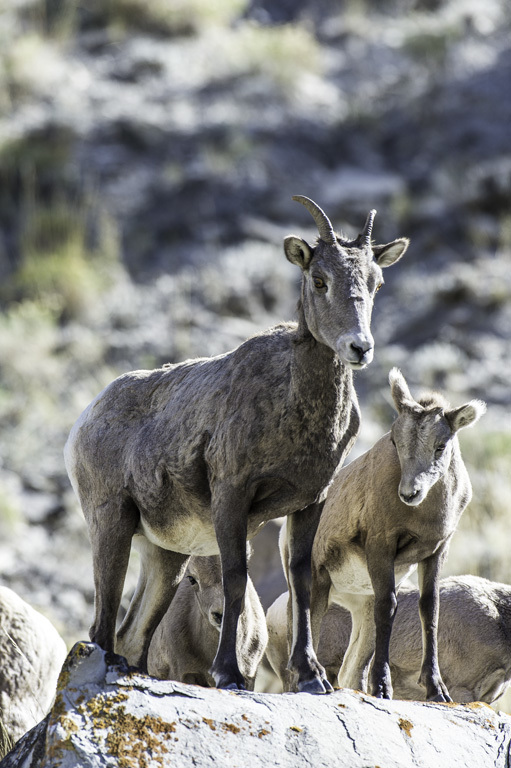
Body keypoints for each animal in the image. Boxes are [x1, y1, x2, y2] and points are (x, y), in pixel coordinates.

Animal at [290, 372, 486, 704]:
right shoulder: (380, 546)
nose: (410, 493)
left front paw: (437, 690)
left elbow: (430, 610)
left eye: (440, 446)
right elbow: (388, 607)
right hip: (319, 584)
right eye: (395, 441)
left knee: (350, 667)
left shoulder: (436, 552)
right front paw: (382, 687)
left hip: (358, 604)